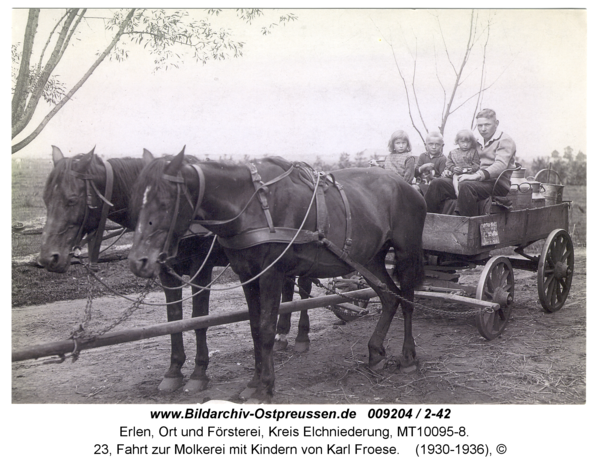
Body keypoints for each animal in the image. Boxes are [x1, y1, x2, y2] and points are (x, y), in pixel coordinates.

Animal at [130, 148, 426, 400]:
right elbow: (254, 328)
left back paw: (408, 357)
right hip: (371, 258)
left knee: (408, 301)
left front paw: (265, 386)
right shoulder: (246, 274)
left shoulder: (270, 274)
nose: (138, 261)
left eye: (165, 202)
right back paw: (375, 352)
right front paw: (254, 383)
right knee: (390, 298)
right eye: (137, 201)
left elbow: (266, 328)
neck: (251, 206)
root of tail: (408, 187)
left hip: (407, 253)